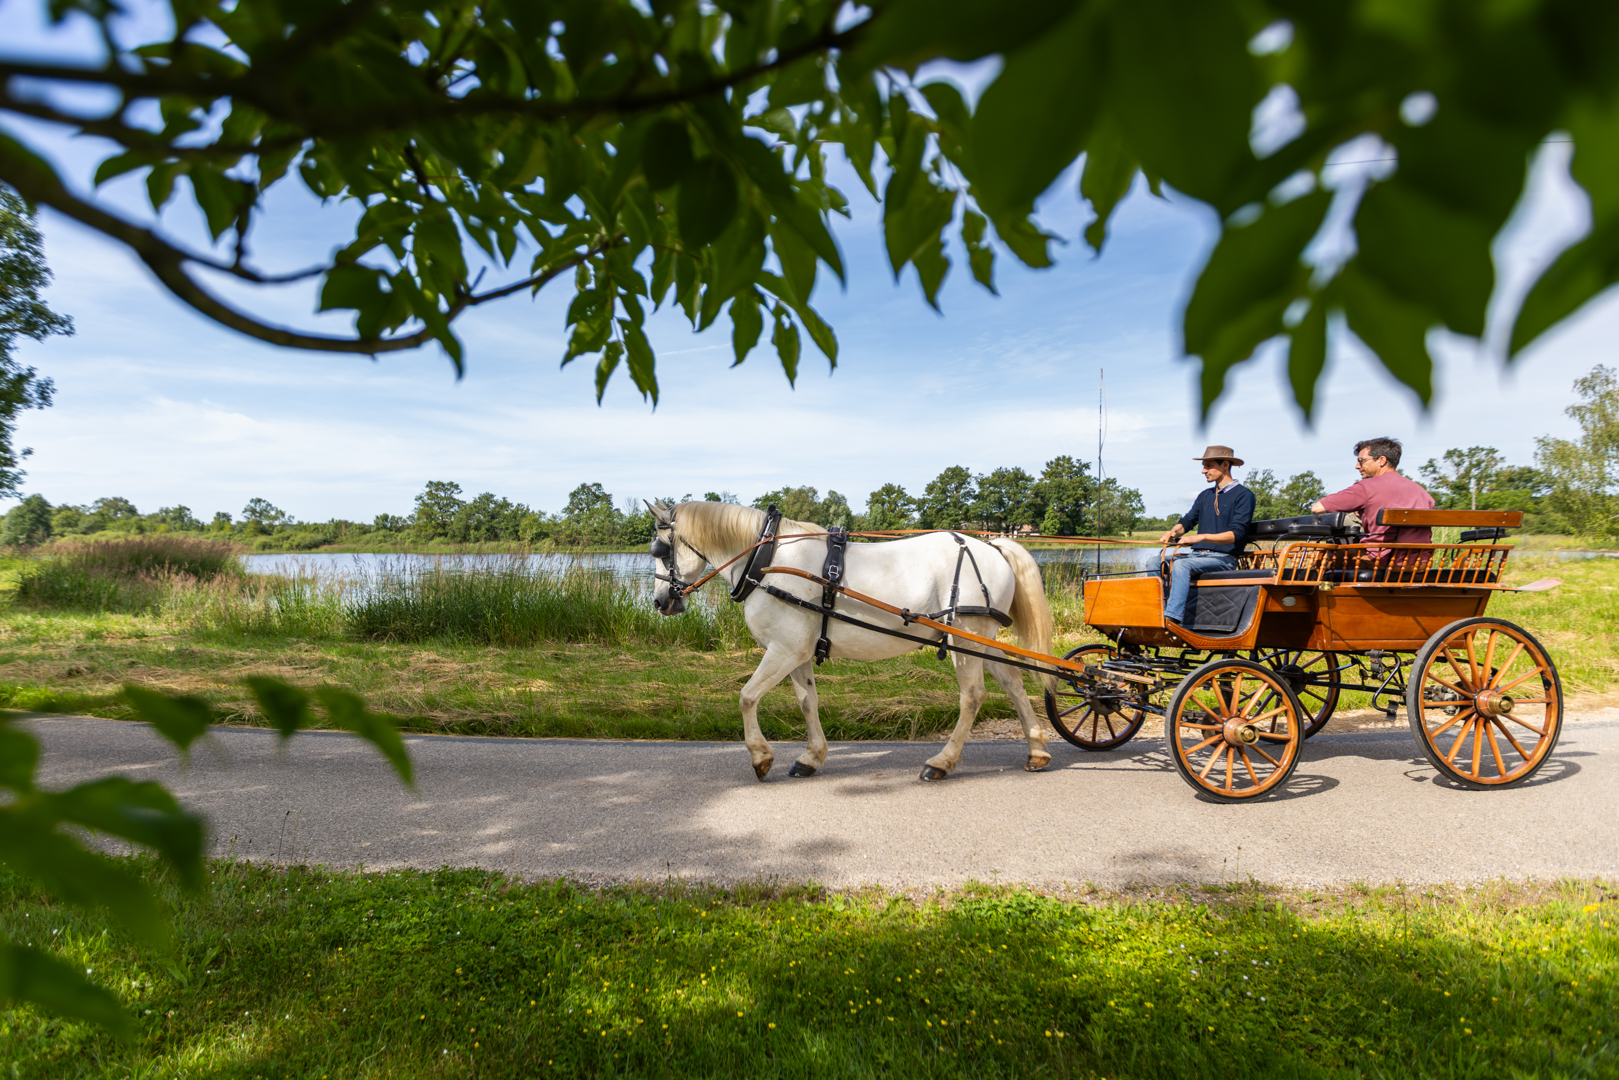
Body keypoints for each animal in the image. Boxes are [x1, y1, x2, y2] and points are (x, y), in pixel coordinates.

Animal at [645, 500, 1058, 782]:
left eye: (661, 552)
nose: (660, 602)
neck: (766, 559)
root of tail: (993, 546)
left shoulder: (783, 650)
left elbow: (747, 696)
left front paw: (761, 757)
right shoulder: (797, 652)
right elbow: (807, 702)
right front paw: (811, 757)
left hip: (968, 638)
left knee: (973, 696)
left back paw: (941, 762)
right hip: (979, 639)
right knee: (1013, 683)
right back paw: (1036, 749)